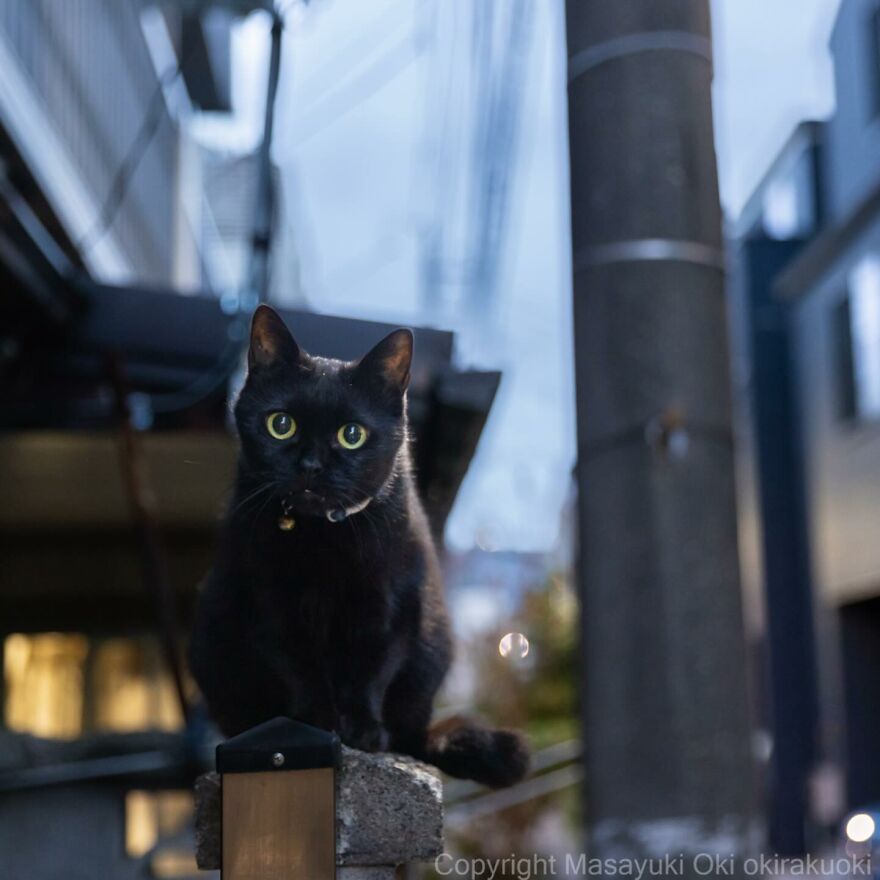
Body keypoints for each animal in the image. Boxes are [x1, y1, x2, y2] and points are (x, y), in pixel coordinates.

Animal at [187, 306, 528, 788]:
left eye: (353, 434)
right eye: (281, 424)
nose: (311, 465)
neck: (325, 540)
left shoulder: (392, 604)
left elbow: (372, 668)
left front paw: (363, 731)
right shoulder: (270, 605)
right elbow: (298, 667)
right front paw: (315, 723)